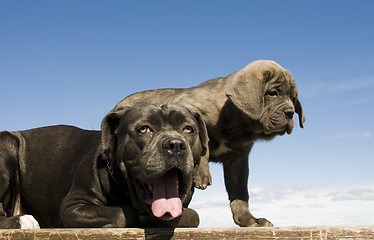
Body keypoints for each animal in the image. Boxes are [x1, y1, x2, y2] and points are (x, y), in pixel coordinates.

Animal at [0, 104, 207, 228]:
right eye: (143, 129)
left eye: (188, 129)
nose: (175, 144)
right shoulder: (73, 205)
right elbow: (122, 213)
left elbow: (193, 216)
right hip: (8, 143)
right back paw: (23, 221)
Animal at [113, 60, 304, 227]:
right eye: (273, 93)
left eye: (293, 99)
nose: (290, 112)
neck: (238, 126)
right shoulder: (186, 107)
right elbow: (201, 136)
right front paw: (202, 174)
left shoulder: (238, 161)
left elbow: (240, 194)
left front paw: (249, 220)